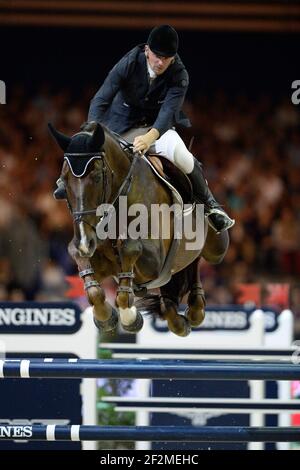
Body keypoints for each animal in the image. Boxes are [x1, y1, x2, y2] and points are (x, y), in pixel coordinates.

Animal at [48, 120, 229, 334]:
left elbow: (129, 249)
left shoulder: (154, 263)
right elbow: (85, 271)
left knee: (198, 258)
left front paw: (129, 317)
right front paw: (106, 317)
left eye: (97, 177)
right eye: (63, 180)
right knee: (173, 292)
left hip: (217, 249)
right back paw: (177, 315)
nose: (85, 242)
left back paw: (195, 308)